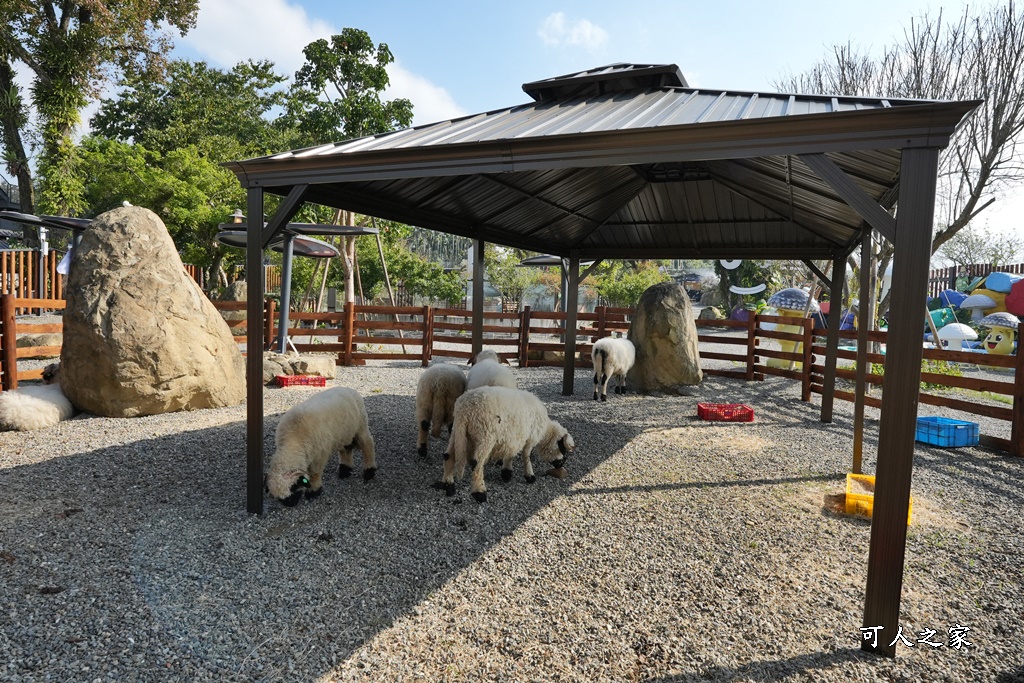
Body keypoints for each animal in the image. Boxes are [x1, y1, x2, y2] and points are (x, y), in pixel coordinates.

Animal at [440, 387, 577, 505]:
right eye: (562, 448)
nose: (561, 464)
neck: (544, 432)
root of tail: (464, 409)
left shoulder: (512, 437)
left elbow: (510, 453)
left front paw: (507, 472)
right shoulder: (529, 438)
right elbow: (526, 456)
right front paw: (530, 476)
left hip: (458, 432)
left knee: (448, 456)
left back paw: (448, 485)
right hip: (485, 435)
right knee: (476, 463)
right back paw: (479, 492)